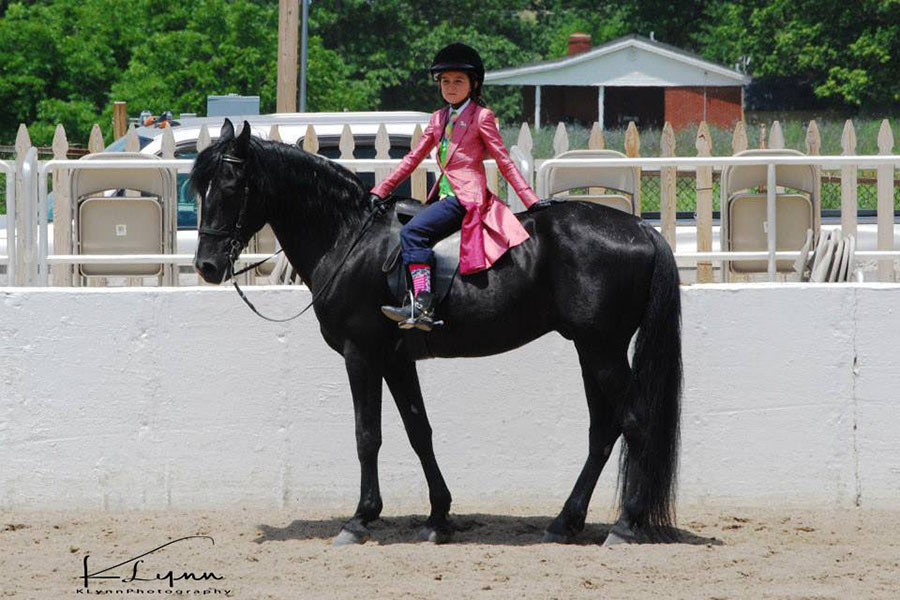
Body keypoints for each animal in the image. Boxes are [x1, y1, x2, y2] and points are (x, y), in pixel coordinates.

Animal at [191, 119, 683, 546]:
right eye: (201, 188)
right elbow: (418, 430)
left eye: (231, 187)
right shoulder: (395, 359)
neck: (350, 238)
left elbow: (367, 435)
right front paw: (438, 517)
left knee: (634, 421)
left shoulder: (361, 353)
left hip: (602, 351)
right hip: (591, 350)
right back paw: (565, 522)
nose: (207, 266)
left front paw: (360, 518)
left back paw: (625, 525)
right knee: (603, 431)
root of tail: (640, 228)